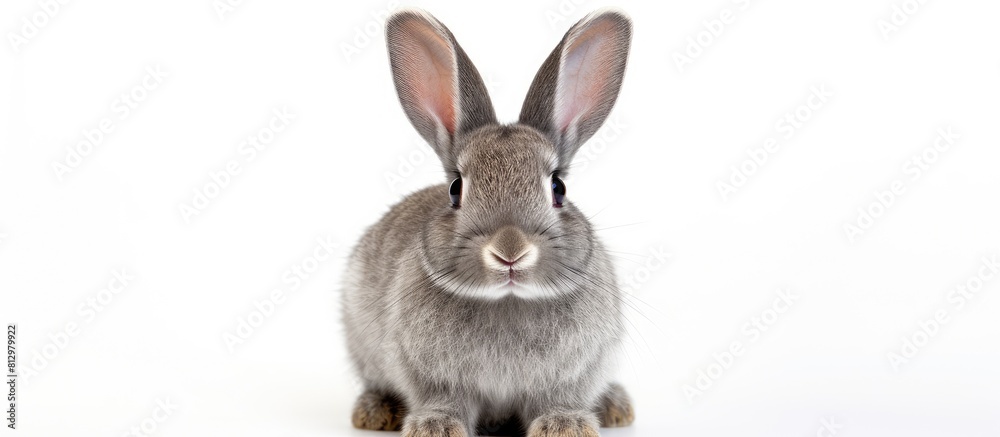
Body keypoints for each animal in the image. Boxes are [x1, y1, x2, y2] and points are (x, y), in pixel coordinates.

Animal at [342, 7, 634, 437]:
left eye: (558, 187)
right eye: (456, 189)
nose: (510, 251)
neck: (507, 300)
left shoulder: (572, 373)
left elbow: (557, 398)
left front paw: (565, 425)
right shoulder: (432, 374)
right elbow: (444, 399)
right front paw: (436, 427)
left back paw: (615, 406)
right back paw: (375, 412)